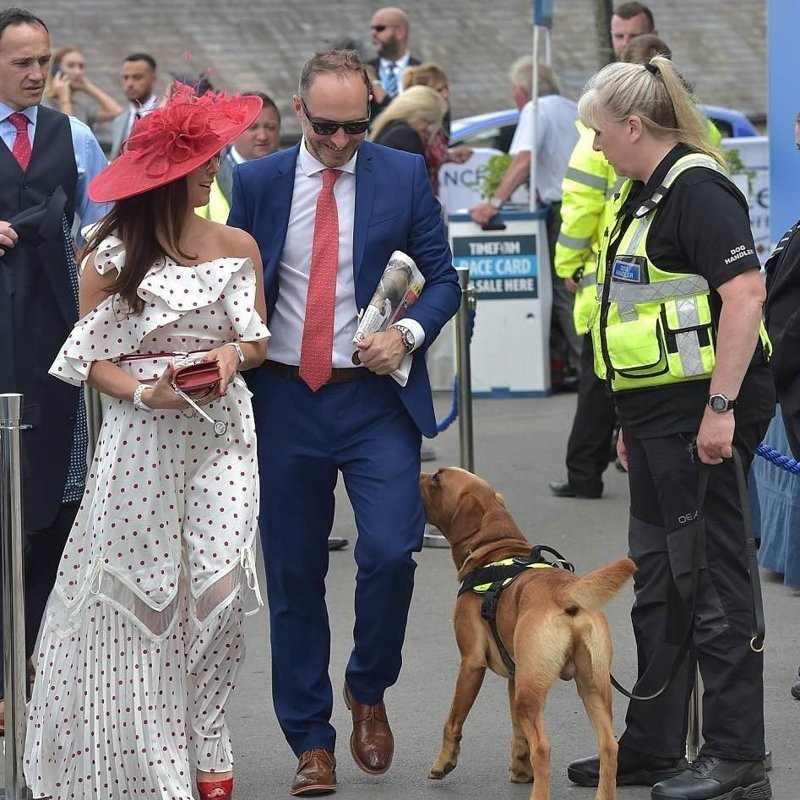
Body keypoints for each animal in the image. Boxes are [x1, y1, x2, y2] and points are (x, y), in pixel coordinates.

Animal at [418, 466, 636, 800]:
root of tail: (565, 593)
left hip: (532, 693)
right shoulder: (514, 675)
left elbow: (453, 720)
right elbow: (518, 735)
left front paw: (443, 763)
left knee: (544, 748)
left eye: (436, 479)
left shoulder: (471, 663)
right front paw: (521, 770)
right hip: (591, 687)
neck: (496, 547)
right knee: (609, 747)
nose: (414, 472)